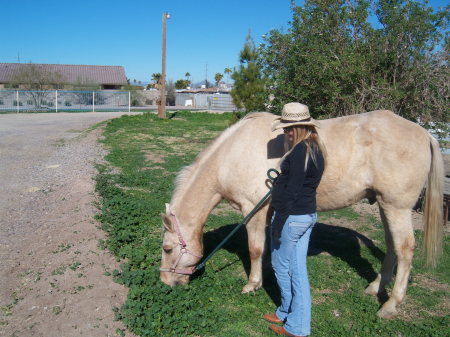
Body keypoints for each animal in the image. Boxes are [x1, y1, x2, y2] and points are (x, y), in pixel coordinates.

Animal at [159, 110, 442, 318]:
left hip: (397, 208)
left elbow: (255, 249)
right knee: (393, 247)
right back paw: (374, 288)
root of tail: (424, 133)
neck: (234, 154)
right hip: (385, 206)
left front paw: (252, 284)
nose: (165, 283)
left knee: (405, 249)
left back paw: (391, 305)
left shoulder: (254, 210)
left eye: (167, 248)